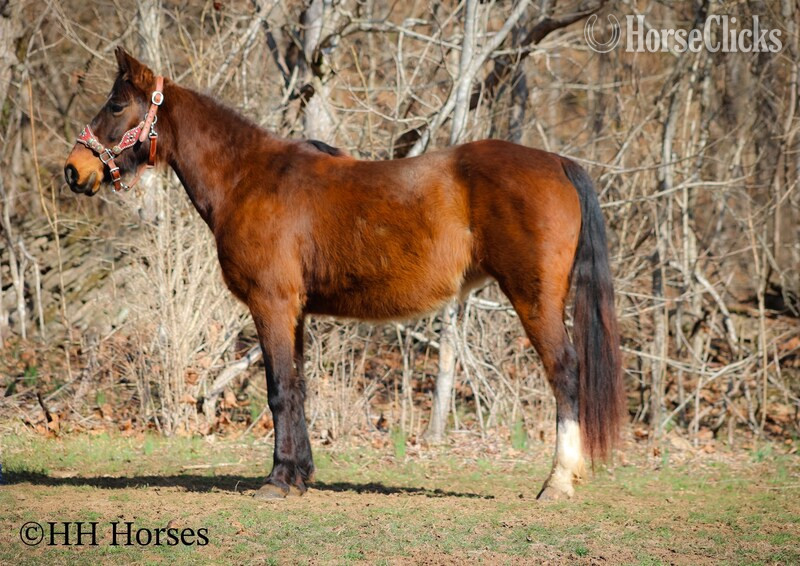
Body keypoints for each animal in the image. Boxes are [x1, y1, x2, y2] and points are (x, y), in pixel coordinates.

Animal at [64, 48, 624, 501]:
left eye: (116, 105)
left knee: (565, 372)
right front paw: (299, 476)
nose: (74, 170)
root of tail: (557, 162)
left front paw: (277, 481)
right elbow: (297, 387)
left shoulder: (271, 305)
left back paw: (558, 481)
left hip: (535, 300)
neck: (249, 178)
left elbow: (278, 389)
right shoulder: (295, 312)